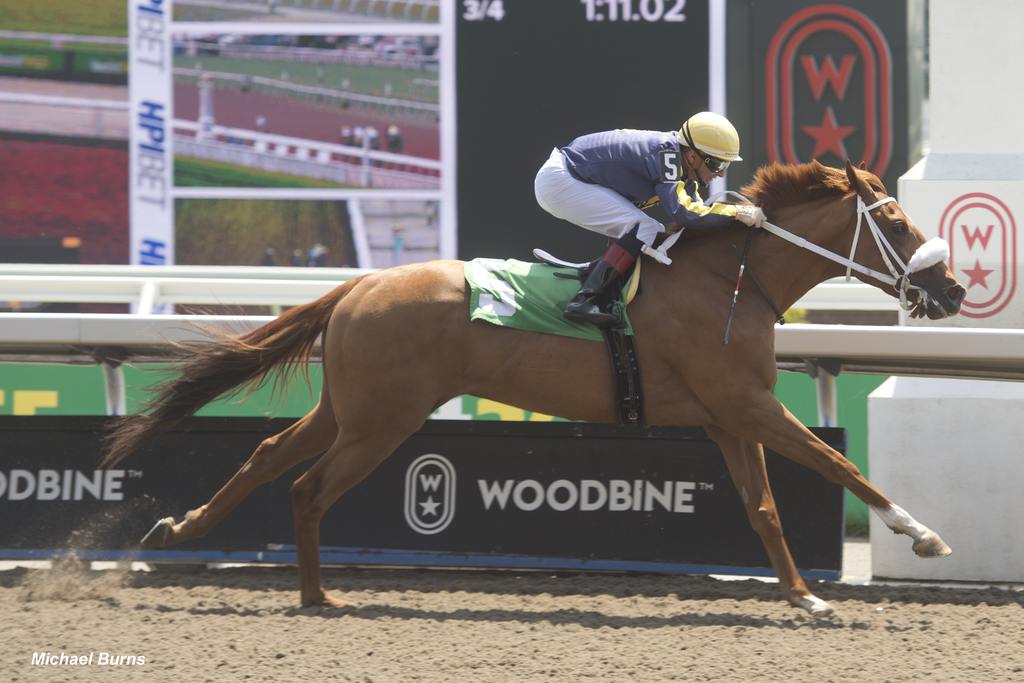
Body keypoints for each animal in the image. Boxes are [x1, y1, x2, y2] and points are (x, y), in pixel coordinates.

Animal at [101, 158, 966, 614]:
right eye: (894, 220)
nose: (952, 289)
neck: (734, 279)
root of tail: (360, 283)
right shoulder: (746, 403)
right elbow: (839, 464)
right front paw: (923, 534)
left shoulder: (730, 416)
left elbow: (765, 507)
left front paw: (801, 596)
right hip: (382, 419)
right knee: (309, 488)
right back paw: (318, 597)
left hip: (347, 407)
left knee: (268, 456)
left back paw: (182, 528)